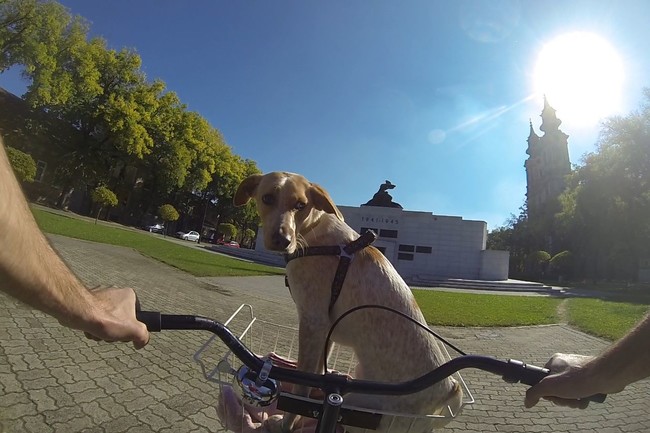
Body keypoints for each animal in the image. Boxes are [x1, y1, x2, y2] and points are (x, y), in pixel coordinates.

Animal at [233, 170, 460, 430]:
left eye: (301, 205)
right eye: (267, 198)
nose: (282, 239)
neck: (313, 232)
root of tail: (451, 390)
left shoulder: (313, 323)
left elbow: (301, 389)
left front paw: (285, 424)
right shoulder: (325, 334)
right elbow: (315, 382)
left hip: (362, 406)